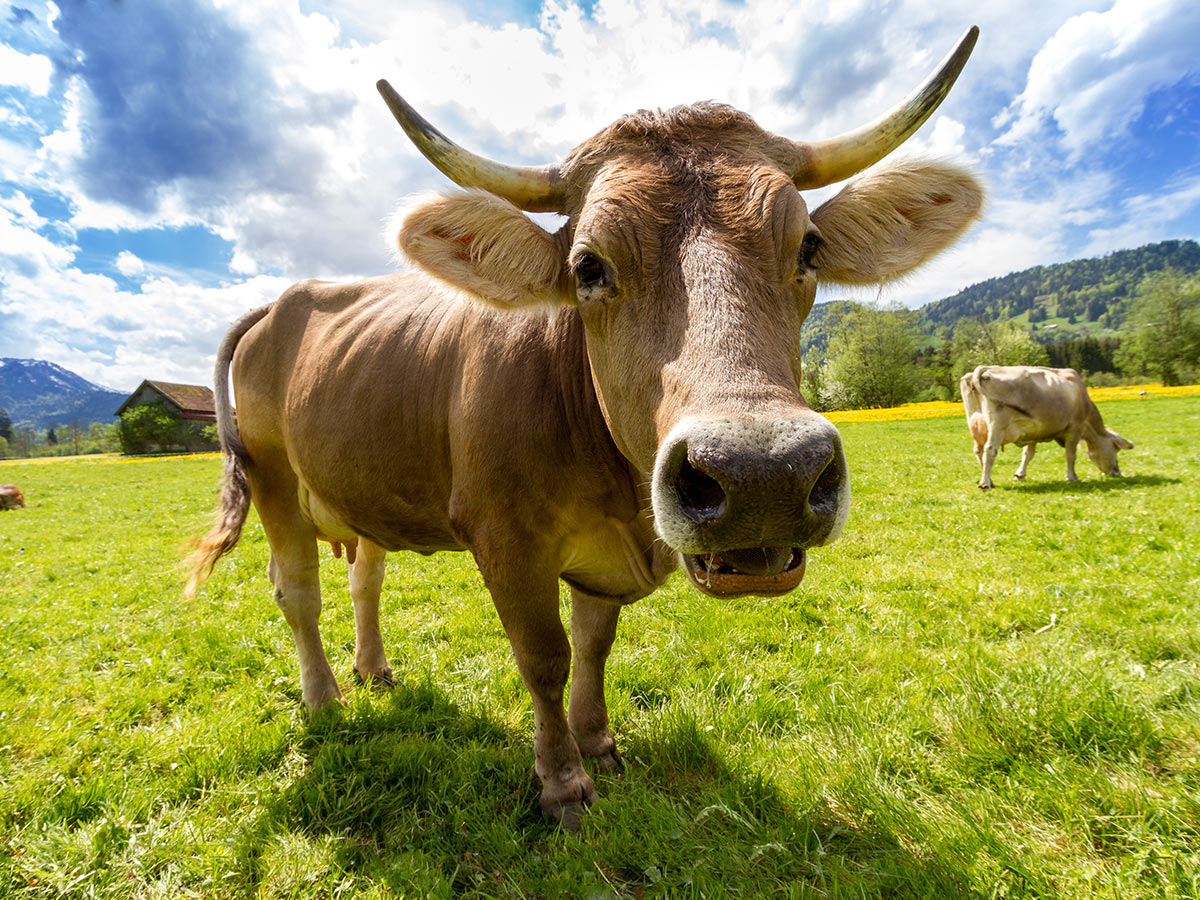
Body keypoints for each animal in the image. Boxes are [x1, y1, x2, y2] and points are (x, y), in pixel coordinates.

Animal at [187, 30, 984, 830]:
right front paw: (563, 783)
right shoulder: (505, 539)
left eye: (809, 248)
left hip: (358, 484)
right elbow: (545, 657)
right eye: (588, 266)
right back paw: (324, 700)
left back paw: (374, 669)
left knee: (364, 577)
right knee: (297, 591)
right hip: (273, 481)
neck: (618, 498)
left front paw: (598, 742)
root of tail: (284, 299)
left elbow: (595, 645)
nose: (764, 475)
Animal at [955, 367, 1132, 494]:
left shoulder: (1032, 431)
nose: (1117, 472)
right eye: (1115, 448)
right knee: (990, 450)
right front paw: (1072, 477)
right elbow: (1071, 455)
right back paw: (985, 484)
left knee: (978, 451)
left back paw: (989, 481)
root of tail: (985, 369)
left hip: (977, 425)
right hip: (997, 426)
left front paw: (1020, 475)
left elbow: (1028, 454)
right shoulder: (1075, 428)